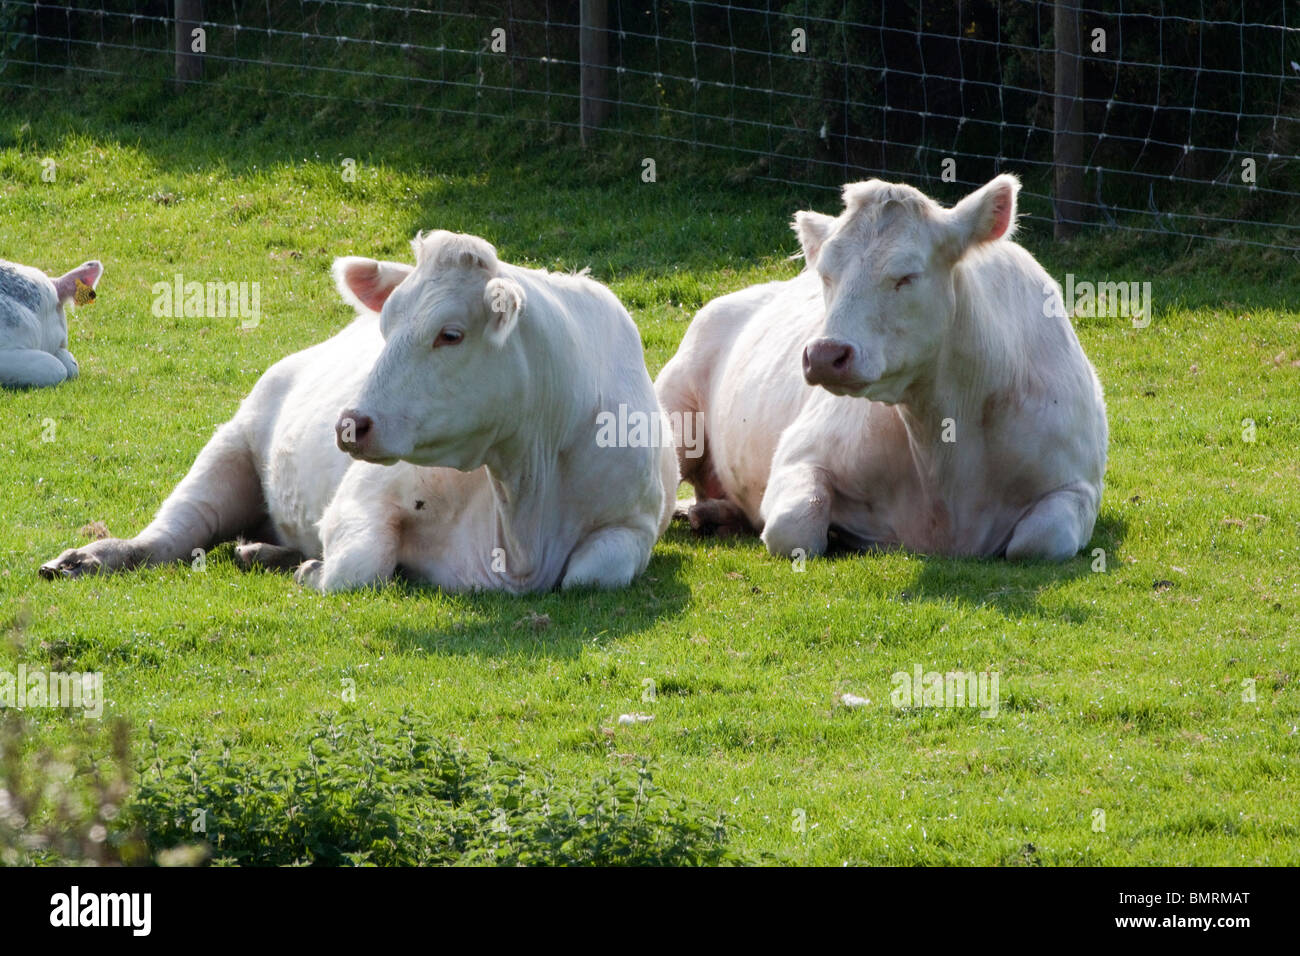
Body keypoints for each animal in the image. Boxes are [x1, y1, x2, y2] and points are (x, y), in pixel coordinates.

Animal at [40, 231, 676, 590]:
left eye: (450, 334)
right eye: (386, 326)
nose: (349, 423)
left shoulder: (634, 526)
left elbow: (589, 575)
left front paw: (296, 563)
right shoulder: (364, 498)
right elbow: (359, 565)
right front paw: (315, 571)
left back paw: (262, 551)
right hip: (230, 447)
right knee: (168, 537)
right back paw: (87, 559)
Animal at [660, 174, 1107, 561]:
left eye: (906, 276)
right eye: (825, 274)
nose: (824, 354)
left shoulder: (1077, 485)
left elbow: (1040, 541)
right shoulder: (800, 454)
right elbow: (794, 527)